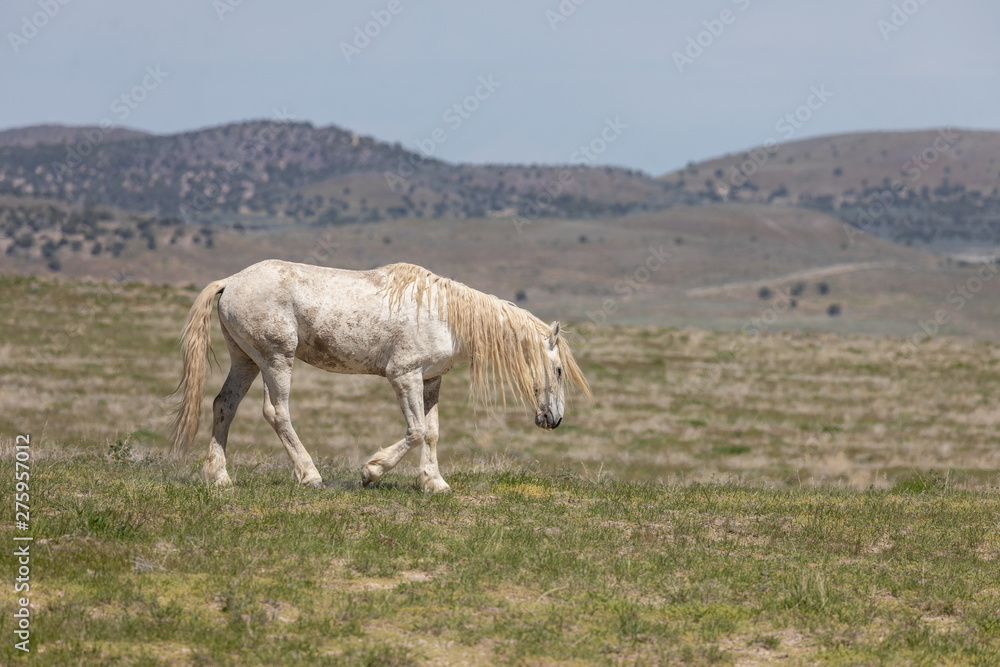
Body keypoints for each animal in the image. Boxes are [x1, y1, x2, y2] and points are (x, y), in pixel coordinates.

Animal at [171, 259, 591, 492]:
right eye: (557, 370)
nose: (555, 419)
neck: (445, 315)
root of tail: (230, 280)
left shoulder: (430, 380)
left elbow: (432, 432)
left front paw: (434, 483)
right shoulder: (403, 376)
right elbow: (416, 431)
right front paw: (371, 471)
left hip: (245, 360)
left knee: (223, 406)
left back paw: (219, 477)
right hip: (276, 360)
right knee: (277, 413)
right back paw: (310, 476)